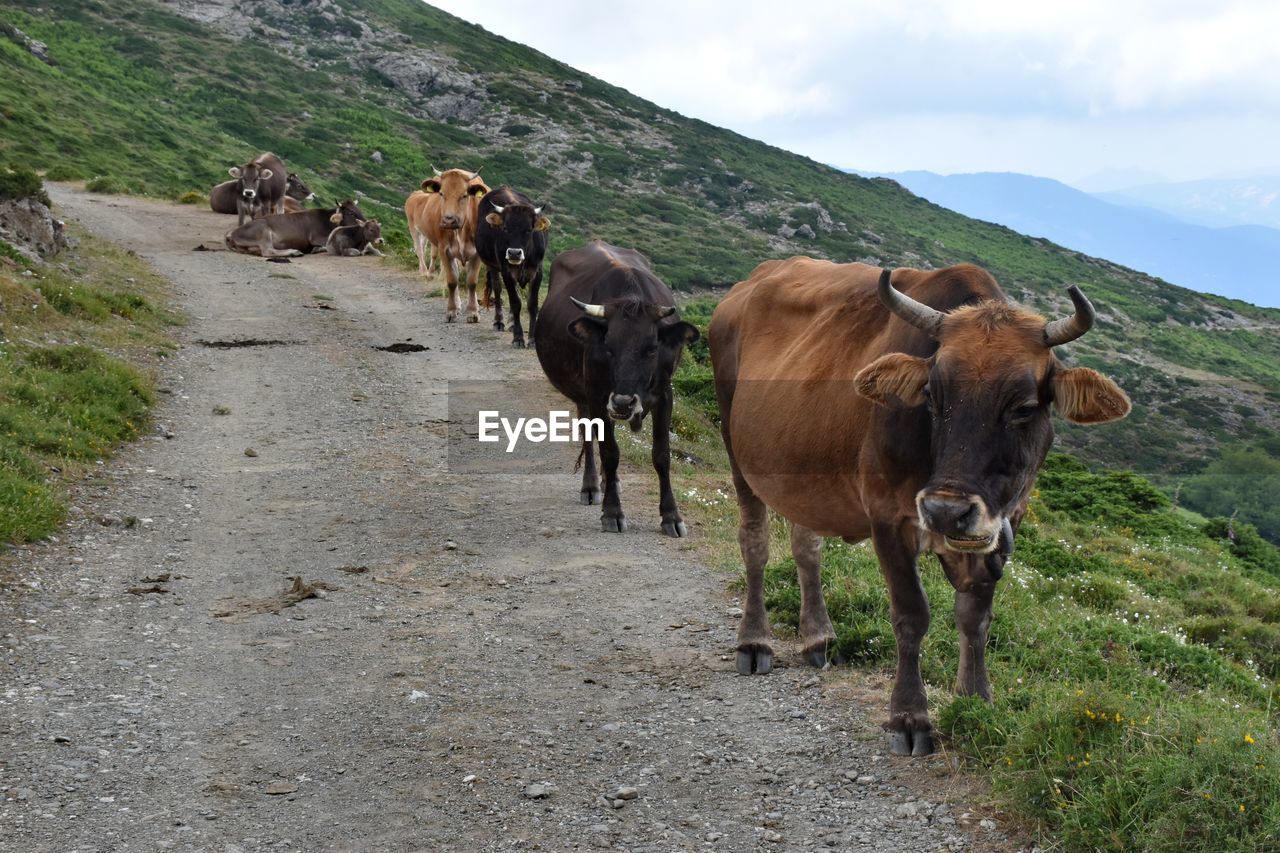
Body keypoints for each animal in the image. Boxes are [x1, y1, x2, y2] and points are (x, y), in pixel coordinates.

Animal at [224, 201, 366, 257]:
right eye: (351, 213)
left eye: (360, 210)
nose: (365, 222)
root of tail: (231, 233)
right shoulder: (316, 237)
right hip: (262, 231)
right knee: (268, 251)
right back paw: (294, 252)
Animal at [473, 185, 547, 345]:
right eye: (505, 228)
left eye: (528, 230)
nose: (514, 253)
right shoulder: (507, 272)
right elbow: (515, 302)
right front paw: (518, 338)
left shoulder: (537, 272)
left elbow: (532, 304)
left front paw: (532, 338)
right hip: (491, 265)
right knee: (497, 288)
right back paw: (499, 322)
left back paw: (512, 323)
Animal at [537, 235, 706, 535]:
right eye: (608, 346)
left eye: (652, 349)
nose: (624, 402)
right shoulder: (598, 393)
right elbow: (609, 451)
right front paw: (612, 511)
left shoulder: (665, 394)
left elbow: (662, 455)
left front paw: (671, 516)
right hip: (586, 398)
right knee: (589, 435)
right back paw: (593, 486)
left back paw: (609, 482)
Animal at [711, 257, 1131, 753]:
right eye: (933, 395)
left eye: (1024, 407)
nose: (947, 510)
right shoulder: (888, 520)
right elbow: (911, 614)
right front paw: (909, 717)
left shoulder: (1004, 525)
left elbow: (975, 618)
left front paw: (976, 701)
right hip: (737, 451)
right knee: (755, 544)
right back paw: (755, 642)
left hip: (802, 472)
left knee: (806, 547)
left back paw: (818, 638)